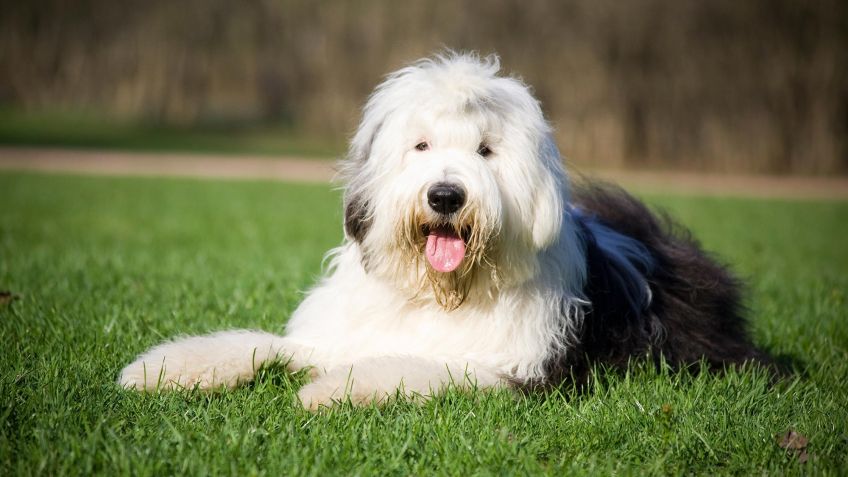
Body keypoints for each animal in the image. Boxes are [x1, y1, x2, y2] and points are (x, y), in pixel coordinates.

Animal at [121, 53, 768, 410]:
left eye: (485, 150)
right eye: (422, 146)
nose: (446, 196)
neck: (440, 293)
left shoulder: (519, 370)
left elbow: (422, 366)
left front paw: (330, 390)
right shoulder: (335, 333)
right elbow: (260, 344)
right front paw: (161, 370)